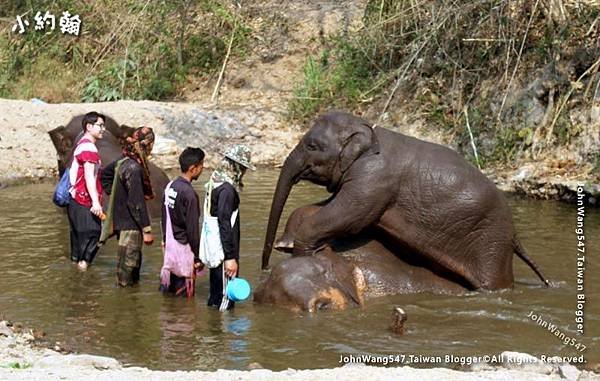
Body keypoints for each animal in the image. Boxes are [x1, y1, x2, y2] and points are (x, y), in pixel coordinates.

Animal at [262, 111, 548, 290]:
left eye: (312, 145)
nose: (263, 268)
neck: (368, 129)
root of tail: (514, 236)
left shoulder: (375, 179)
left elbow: (349, 216)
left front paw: (300, 254)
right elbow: (332, 207)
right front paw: (287, 243)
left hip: (491, 245)